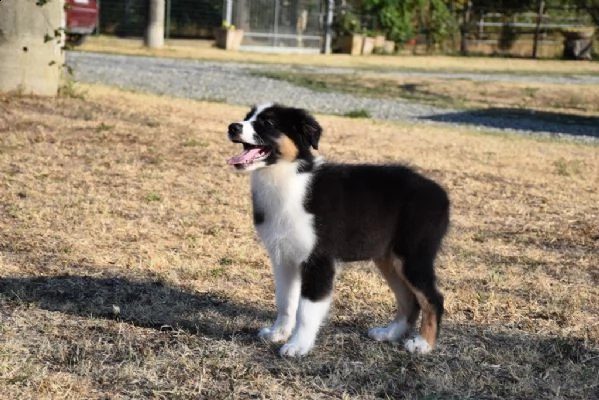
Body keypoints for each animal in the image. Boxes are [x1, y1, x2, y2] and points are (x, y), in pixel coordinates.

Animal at [226, 104, 450, 356]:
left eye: (268, 123)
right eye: (247, 117)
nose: (232, 127)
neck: (288, 178)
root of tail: (441, 193)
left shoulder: (319, 260)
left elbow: (306, 309)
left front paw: (298, 345)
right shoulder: (284, 258)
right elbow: (286, 301)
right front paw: (278, 333)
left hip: (413, 256)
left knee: (434, 299)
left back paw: (423, 343)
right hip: (389, 258)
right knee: (409, 299)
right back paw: (390, 333)